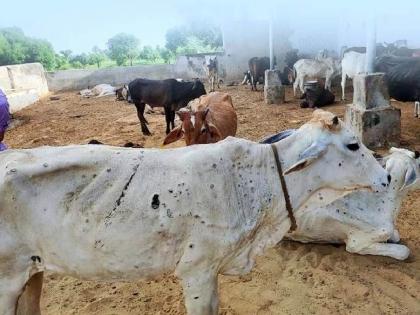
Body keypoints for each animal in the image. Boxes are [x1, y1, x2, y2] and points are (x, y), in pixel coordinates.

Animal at [0, 110, 390, 314]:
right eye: (352, 145)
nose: (386, 177)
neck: (254, 180)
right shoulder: (196, 270)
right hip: (8, 279)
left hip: (33, 272)